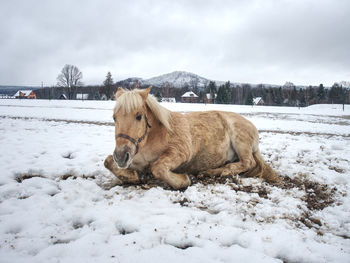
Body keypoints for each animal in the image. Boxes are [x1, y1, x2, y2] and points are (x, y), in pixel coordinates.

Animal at [103, 87, 278, 191]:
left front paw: (185, 179)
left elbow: (158, 168)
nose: (121, 156)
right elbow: (108, 161)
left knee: (248, 163)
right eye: (114, 118)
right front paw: (132, 176)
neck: (154, 137)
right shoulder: (135, 158)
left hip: (241, 141)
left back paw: (216, 171)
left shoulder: (180, 152)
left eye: (139, 116)